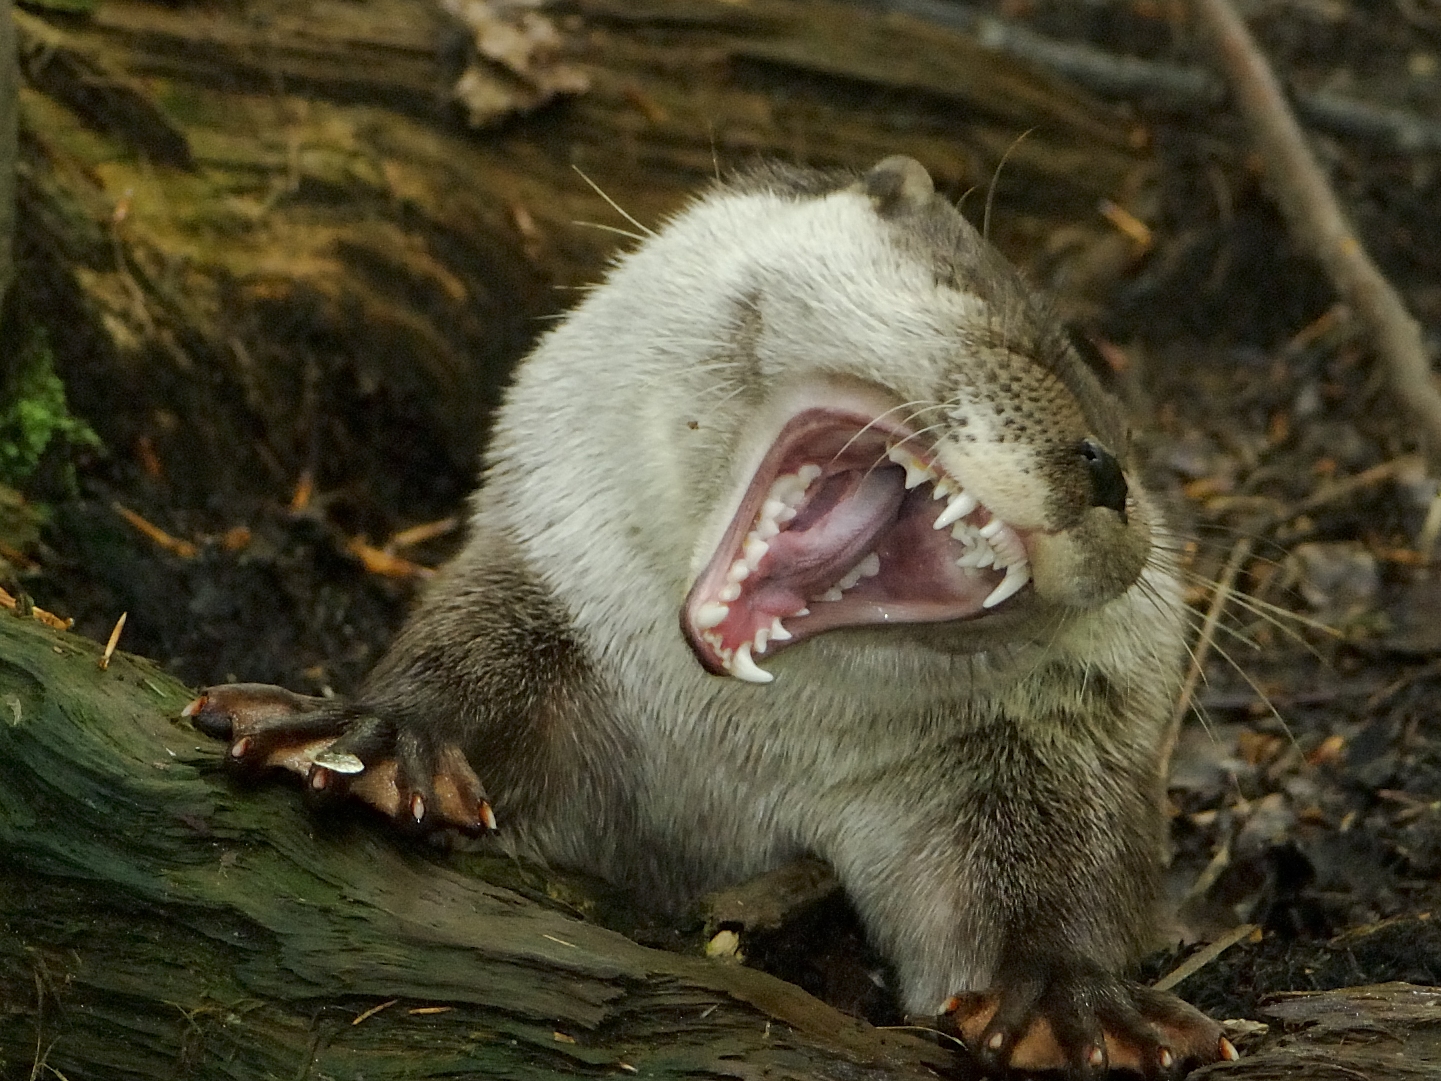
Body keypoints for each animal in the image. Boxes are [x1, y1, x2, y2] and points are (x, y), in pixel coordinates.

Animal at [183, 156, 1239, 1078]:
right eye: (985, 311)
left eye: (1133, 456)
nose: (1105, 470)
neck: (736, 758)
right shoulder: (552, 571)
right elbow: (462, 655)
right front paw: (375, 735)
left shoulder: (1043, 754)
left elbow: (1057, 877)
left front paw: (1073, 999)